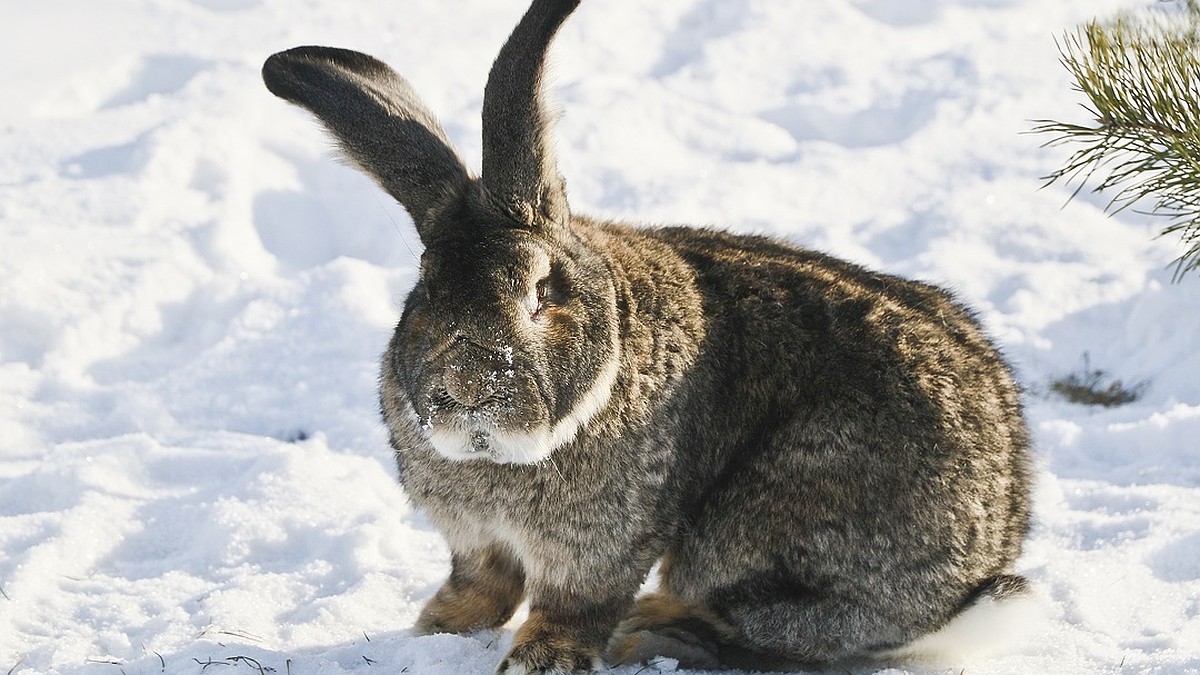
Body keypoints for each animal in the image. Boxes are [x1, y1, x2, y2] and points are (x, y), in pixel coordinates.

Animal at [262, 2, 1032, 667]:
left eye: (542, 291)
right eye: (425, 288)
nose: (469, 388)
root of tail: (980, 571)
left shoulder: (603, 542)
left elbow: (573, 605)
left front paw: (542, 659)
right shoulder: (475, 540)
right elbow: (483, 585)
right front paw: (435, 631)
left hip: (764, 520)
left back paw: (655, 628)